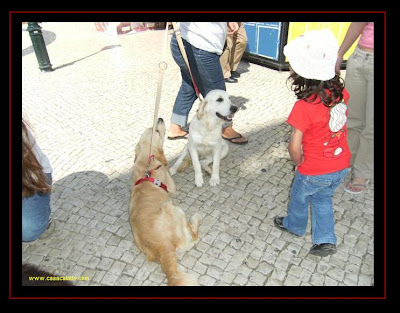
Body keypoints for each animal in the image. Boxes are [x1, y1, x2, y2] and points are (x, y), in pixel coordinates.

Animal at [130, 117, 202, 286]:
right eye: (156, 130)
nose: (160, 118)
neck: (146, 163)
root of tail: (163, 249)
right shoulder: (171, 185)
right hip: (174, 208)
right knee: (194, 236)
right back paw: (196, 218)